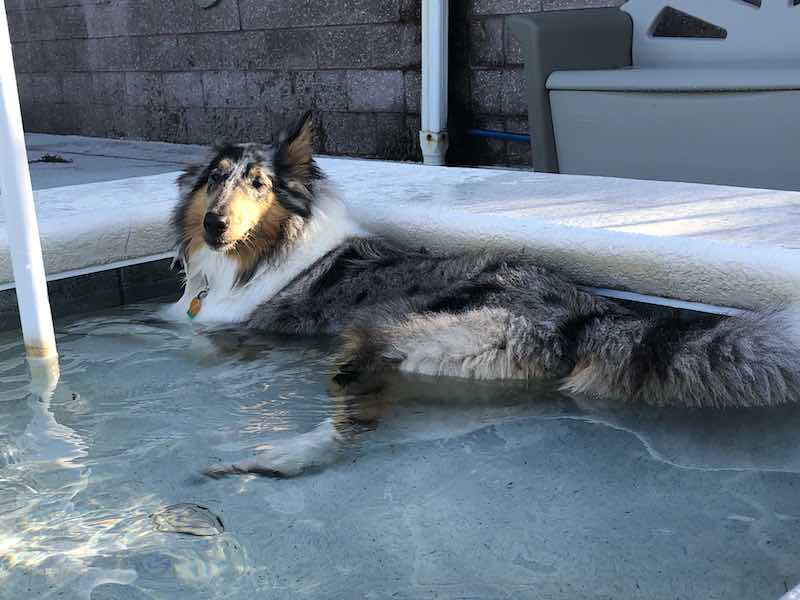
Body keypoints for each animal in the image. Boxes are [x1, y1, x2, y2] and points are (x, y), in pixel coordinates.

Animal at [170, 112, 800, 478]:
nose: (214, 226)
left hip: (387, 335)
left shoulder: (234, 329)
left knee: (356, 416)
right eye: (215, 178)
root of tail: (586, 313)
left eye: (259, 184)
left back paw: (278, 458)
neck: (263, 250)